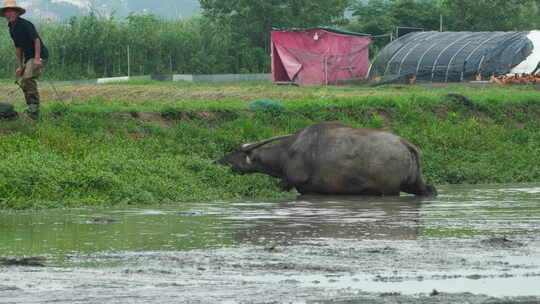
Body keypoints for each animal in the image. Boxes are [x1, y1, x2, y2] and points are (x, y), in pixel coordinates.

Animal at [217, 123, 436, 197]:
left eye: (235, 151)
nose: (219, 161)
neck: (288, 152)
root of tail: (405, 144)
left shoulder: (292, 183)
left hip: (390, 190)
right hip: (415, 184)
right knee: (430, 190)